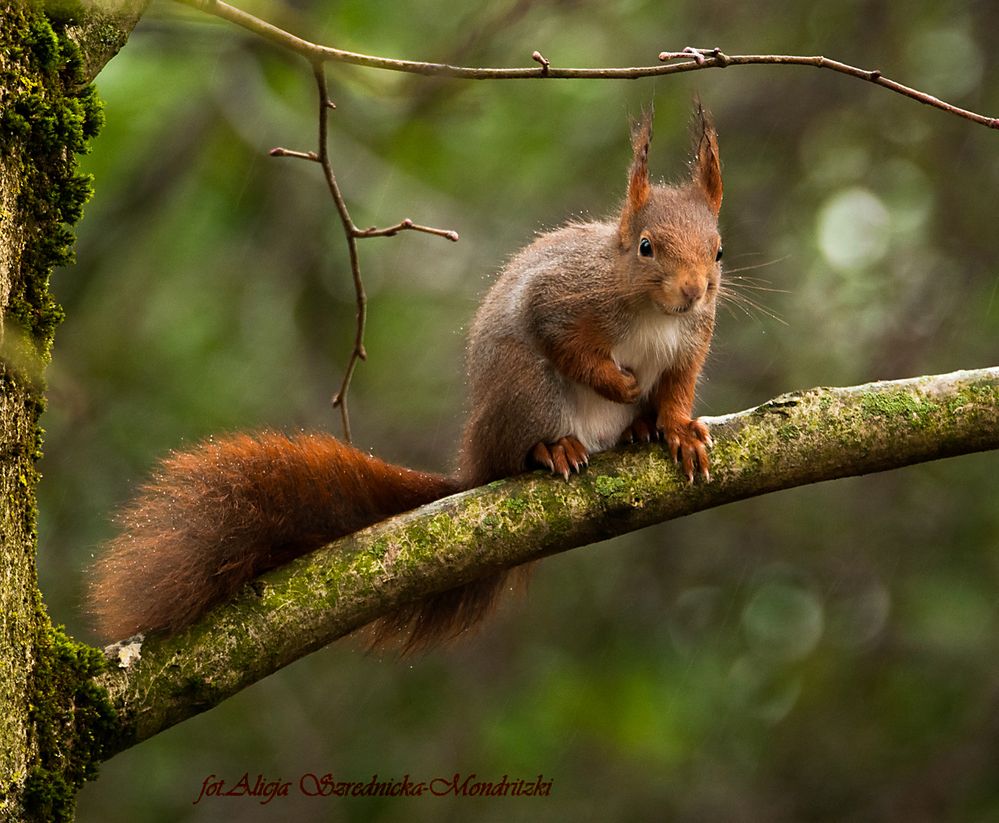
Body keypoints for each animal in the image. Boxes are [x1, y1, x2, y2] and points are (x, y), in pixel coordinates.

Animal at [86, 106, 724, 652]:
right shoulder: (562, 299)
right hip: (525, 391)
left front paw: (677, 429)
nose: (694, 291)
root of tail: (474, 463)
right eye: (646, 247)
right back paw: (553, 449)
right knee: (521, 443)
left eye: (718, 251)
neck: (653, 313)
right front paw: (620, 385)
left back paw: (638, 430)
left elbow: (678, 386)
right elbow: (567, 343)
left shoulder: (693, 340)